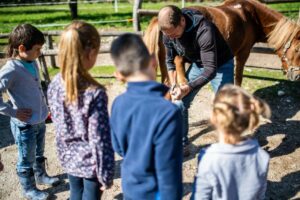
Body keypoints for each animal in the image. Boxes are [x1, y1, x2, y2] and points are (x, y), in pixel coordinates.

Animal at [143, 0, 300, 86]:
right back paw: (183, 82)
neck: (253, 17)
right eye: (298, 49)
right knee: (178, 60)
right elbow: (238, 78)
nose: (297, 76)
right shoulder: (243, 53)